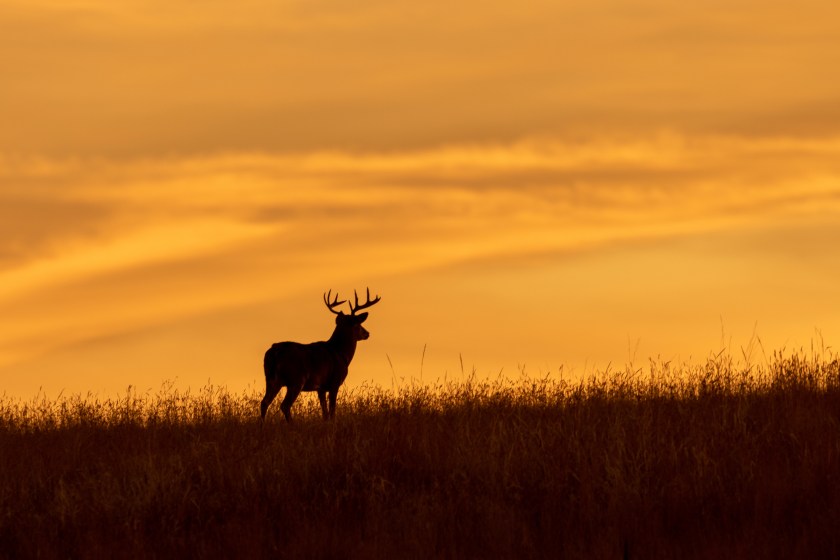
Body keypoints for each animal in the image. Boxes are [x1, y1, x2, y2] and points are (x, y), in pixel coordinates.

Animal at [260, 288, 382, 424]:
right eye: (358, 324)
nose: (367, 333)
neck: (341, 353)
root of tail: (274, 352)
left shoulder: (321, 388)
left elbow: (325, 413)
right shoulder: (334, 382)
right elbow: (332, 411)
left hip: (271, 379)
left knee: (264, 402)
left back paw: (262, 425)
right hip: (296, 379)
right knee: (284, 405)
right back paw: (292, 425)